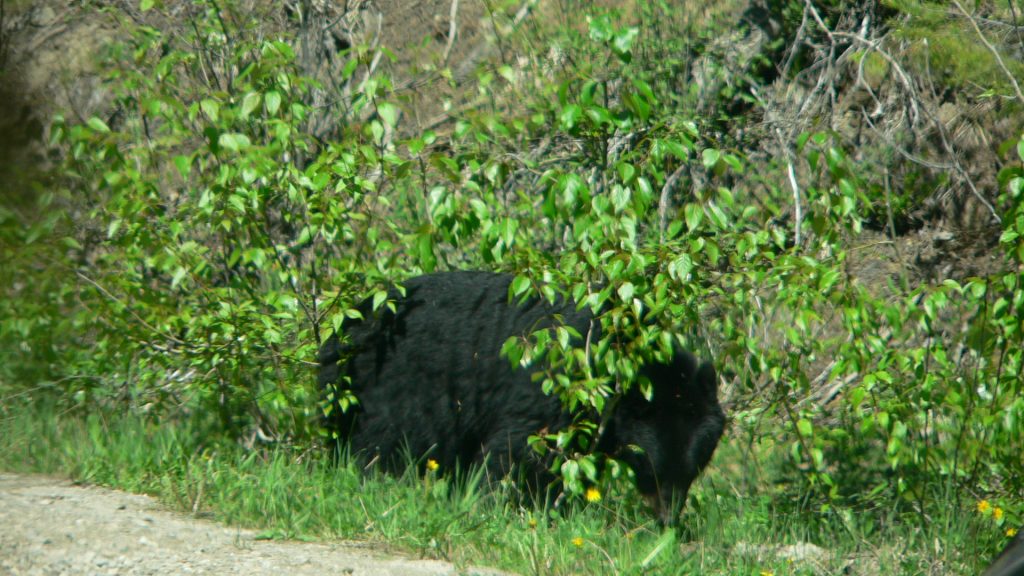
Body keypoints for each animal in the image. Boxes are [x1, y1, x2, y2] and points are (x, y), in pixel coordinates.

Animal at [315, 270, 724, 522]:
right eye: (650, 465)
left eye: (694, 468)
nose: (667, 519)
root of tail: (344, 323)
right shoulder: (552, 390)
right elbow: (521, 451)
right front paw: (504, 503)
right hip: (391, 384)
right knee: (383, 439)